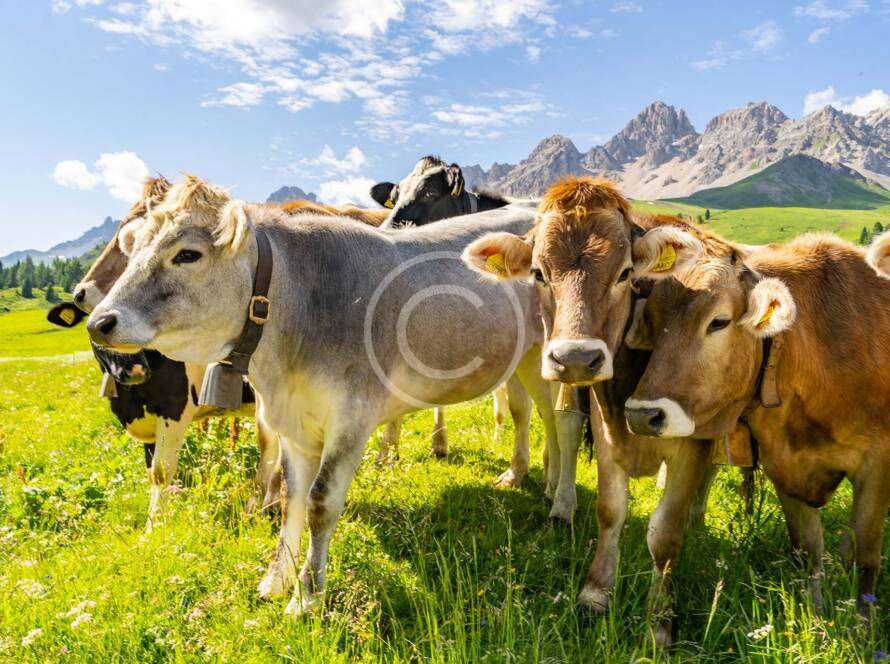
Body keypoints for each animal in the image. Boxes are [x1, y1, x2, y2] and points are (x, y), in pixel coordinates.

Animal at [84, 175, 582, 617]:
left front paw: (306, 598)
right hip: (527, 360)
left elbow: (321, 502)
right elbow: (291, 497)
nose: (100, 321)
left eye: (187, 254)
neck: (297, 309)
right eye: (135, 249)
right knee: (539, 414)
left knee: (567, 421)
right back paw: (544, 480)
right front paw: (275, 581)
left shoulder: (351, 419)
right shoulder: (291, 421)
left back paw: (562, 505)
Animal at [461, 177, 717, 646]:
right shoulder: (602, 421)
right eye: (538, 273)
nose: (577, 358)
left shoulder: (692, 441)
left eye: (626, 273)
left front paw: (660, 619)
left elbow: (666, 533)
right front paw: (595, 594)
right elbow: (610, 509)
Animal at [626, 226, 890, 617]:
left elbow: (863, 553)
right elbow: (808, 548)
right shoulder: (783, 463)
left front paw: (862, 621)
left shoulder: (877, 464)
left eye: (718, 322)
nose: (642, 415)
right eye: (653, 323)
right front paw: (816, 613)